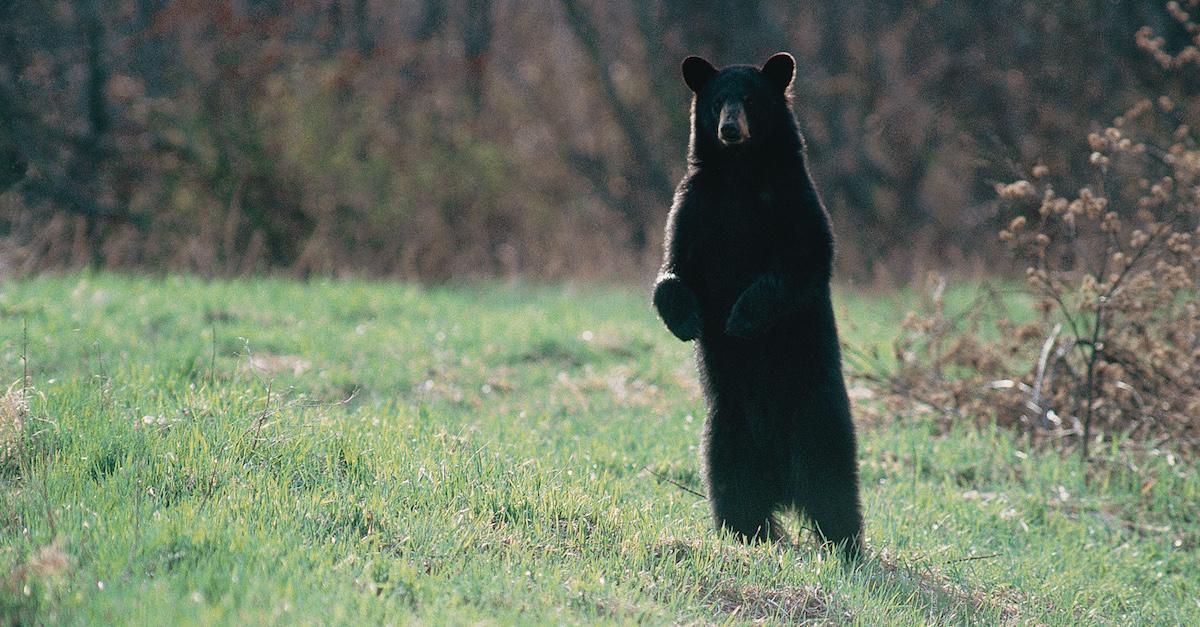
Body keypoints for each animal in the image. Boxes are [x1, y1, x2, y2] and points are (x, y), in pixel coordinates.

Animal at [657, 51, 864, 554]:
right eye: (717, 101)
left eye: (751, 100)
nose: (730, 129)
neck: (740, 173)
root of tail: (783, 488)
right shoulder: (693, 206)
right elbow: (672, 266)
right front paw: (687, 319)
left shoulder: (796, 202)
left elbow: (804, 263)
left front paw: (742, 316)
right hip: (725, 433)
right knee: (729, 485)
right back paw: (746, 533)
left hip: (820, 421)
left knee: (835, 487)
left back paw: (845, 545)